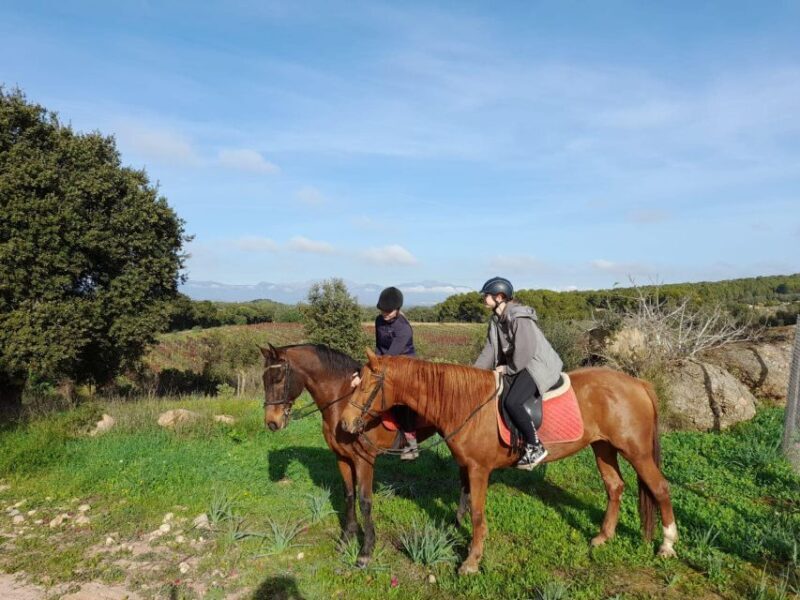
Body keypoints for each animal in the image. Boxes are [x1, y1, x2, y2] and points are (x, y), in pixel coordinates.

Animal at [260, 343, 437, 567]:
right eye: (264, 379)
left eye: (278, 378)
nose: (272, 423)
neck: (342, 401)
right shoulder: (342, 458)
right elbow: (349, 496)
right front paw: (346, 539)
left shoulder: (364, 461)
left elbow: (364, 501)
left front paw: (366, 550)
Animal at [340, 349, 678, 575]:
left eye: (368, 386)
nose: (345, 423)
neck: (466, 404)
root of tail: (638, 384)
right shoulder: (468, 469)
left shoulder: (479, 470)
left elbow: (477, 515)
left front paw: (471, 562)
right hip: (603, 447)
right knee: (614, 486)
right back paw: (603, 537)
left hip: (636, 452)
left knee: (660, 488)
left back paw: (667, 544)